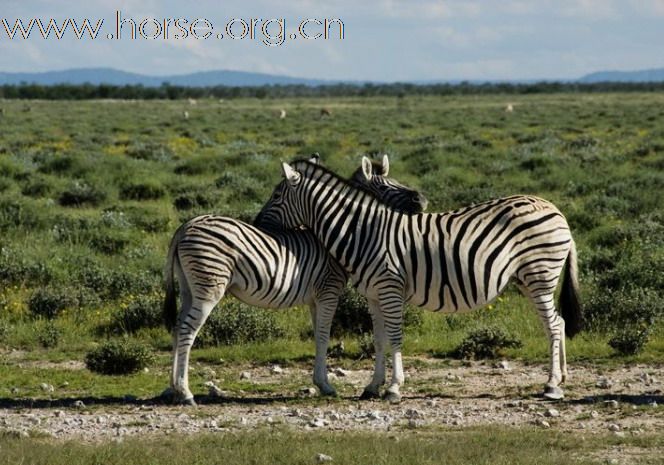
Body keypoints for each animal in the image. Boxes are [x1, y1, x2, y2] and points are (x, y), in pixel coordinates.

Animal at [163, 153, 428, 402]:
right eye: (385, 187)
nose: (422, 200)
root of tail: (185, 226)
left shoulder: (315, 297)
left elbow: (318, 335)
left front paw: (320, 382)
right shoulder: (328, 290)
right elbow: (323, 336)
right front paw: (326, 385)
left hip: (189, 287)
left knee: (177, 326)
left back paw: (173, 389)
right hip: (209, 287)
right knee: (187, 330)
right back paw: (185, 393)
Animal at [256, 158, 584, 400]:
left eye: (276, 195)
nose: (257, 223)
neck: (365, 232)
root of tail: (555, 209)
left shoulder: (390, 288)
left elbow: (396, 336)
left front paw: (393, 388)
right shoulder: (373, 295)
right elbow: (378, 339)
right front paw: (372, 386)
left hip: (540, 274)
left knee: (552, 324)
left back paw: (552, 385)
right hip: (529, 279)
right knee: (559, 321)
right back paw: (562, 378)